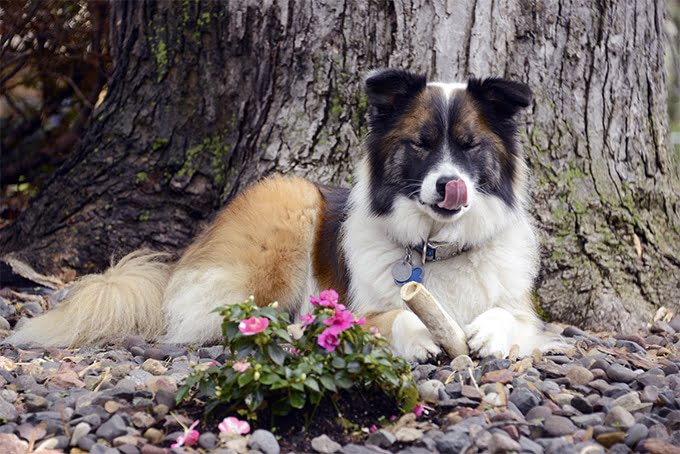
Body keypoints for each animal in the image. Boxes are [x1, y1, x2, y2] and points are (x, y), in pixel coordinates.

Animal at [5, 69, 560, 360]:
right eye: (421, 145)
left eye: (469, 146)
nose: (450, 185)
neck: (436, 247)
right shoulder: (363, 307)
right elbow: (395, 314)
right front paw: (421, 332)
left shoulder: (521, 308)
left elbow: (511, 318)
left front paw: (489, 332)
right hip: (290, 203)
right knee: (239, 320)